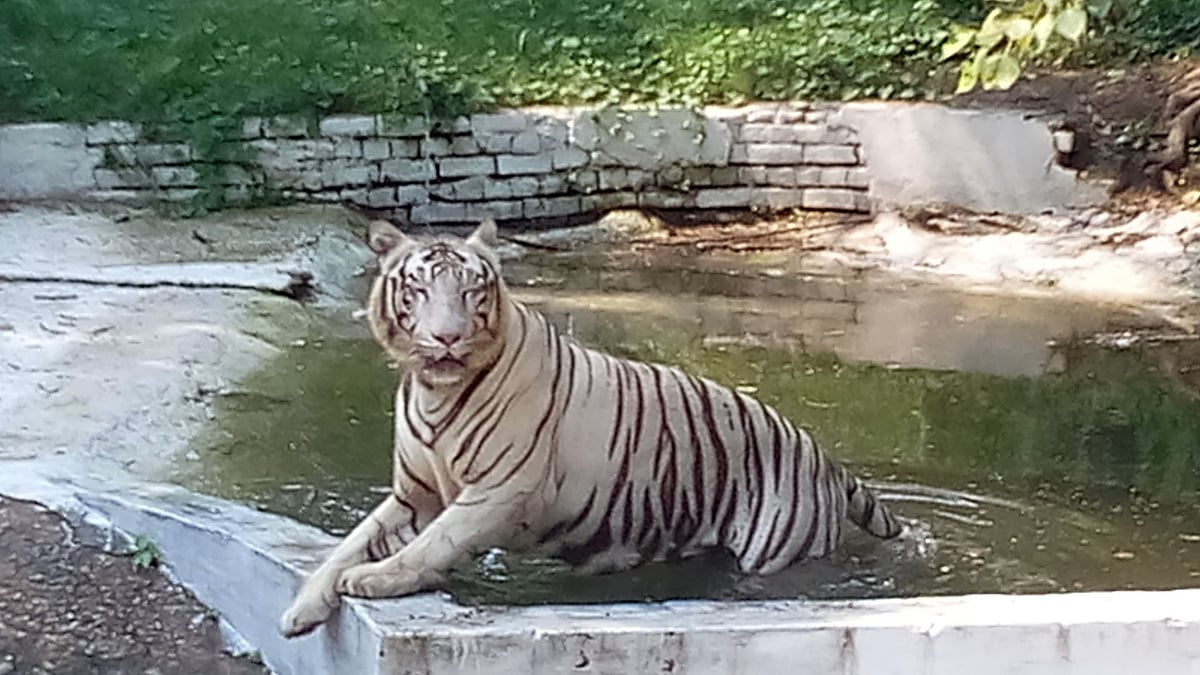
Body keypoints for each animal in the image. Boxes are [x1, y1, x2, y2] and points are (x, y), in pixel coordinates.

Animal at [279, 218, 903, 638]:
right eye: (419, 290)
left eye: (471, 291)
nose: (447, 338)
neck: (437, 391)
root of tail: (825, 459)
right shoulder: (415, 495)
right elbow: (346, 547)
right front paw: (302, 608)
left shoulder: (496, 491)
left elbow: (432, 546)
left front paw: (375, 579)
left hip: (773, 550)